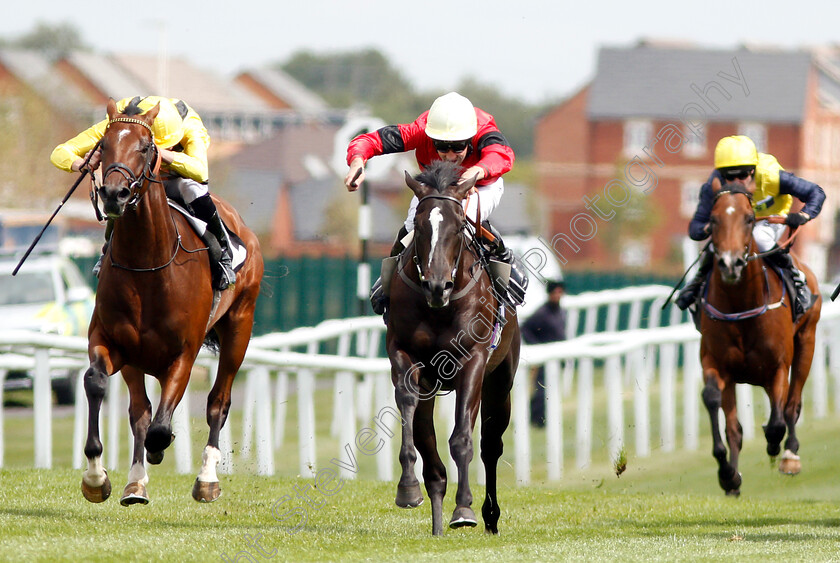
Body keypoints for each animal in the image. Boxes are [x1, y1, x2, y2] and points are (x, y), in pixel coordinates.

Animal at [79, 100, 262, 506]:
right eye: (103, 145)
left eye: (146, 147)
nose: (114, 194)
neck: (146, 264)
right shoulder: (110, 341)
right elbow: (98, 384)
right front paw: (98, 478)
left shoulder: (184, 353)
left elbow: (163, 427)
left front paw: (162, 451)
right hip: (136, 359)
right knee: (140, 411)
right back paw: (135, 483)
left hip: (239, 327)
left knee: (218, 402)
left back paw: (207, 478)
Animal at [386, 161, 520, 536]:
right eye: (418, 225)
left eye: (460, 225)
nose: (437, 286)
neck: (439, 308)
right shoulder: (403, 354)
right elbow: (408, 407)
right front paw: (407, 489)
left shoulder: (473, 361)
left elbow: (462, 438)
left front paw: (464, 509)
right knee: (430, 453)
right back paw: (435, 522)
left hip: (500, 381)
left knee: (490, 446)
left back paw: (490, 516)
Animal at [696, 178, 820, 496]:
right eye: (713, 219)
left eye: (749, 218)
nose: (730, 264)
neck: (741, 304)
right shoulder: (716, 363)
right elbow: (714, 402)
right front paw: (728, 474)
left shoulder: (777, 366)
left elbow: (778, 419)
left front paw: (776, 444)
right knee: (735, 425)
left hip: (807, 342)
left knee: (792, 403)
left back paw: (789, 454)